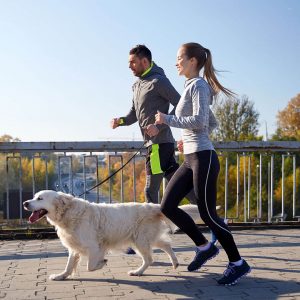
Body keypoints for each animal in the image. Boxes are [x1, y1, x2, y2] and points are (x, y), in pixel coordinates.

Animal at [24, 191, 202, 280]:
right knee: (165, 244)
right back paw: (175, 263)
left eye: (39, 198)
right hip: (145, 238)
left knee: (150, 258)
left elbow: (90, 266)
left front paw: (102, 263)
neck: (68, 213)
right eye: (33, 197)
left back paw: (137, 272)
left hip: (140, 240)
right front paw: (61, 276)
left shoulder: (93, 246)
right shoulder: (74, 247)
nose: (25, 203)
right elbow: (69, 265)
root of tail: (153, 206)